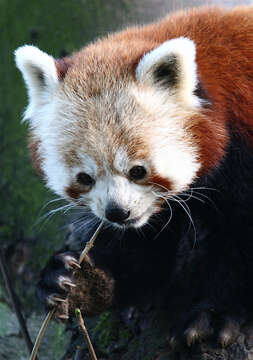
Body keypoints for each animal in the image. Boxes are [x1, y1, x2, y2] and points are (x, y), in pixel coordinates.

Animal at [15, 5, 253, 352]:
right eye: (85, 178)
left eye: (137, 170)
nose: (118, 212)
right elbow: (144, 252)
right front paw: (78, 281)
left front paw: (216, 315)